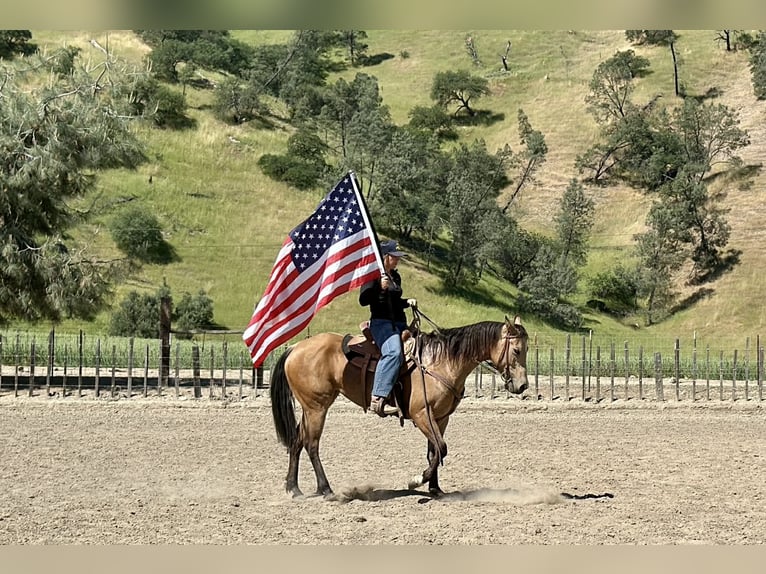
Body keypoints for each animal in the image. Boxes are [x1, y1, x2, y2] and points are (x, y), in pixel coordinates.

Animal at [269, 315, 529, 498]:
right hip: (317, 407)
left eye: (526, 349)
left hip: (309, 407)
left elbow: (434, 451)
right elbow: (441, 448)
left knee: (297, 441)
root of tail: (295, 348)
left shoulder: (441, 417)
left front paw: (435, 488)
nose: (523, 385)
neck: (442, 362)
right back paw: (325, 489)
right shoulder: (422, 414)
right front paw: (418, 480)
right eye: (516, 350)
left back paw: (294, 489)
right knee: (311, 445)